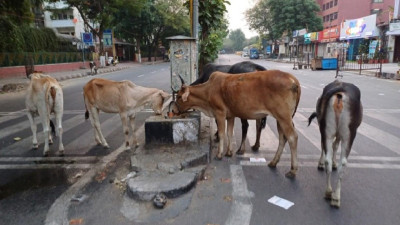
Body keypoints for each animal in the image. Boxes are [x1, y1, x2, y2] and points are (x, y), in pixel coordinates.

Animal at [173, 70, 302, 178]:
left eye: (179, 96)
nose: (173, 110)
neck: (208, 90)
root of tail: (293, 79)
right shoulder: (230, 116)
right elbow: (229, 133)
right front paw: (229, 152)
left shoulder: (220, 113)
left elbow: (222, 134)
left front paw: (219, 154)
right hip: (281, 119)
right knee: (282, 138)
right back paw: (273, 162)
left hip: (283, 117)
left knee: (292, 137)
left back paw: (292, 170)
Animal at [310, 80, 362, 208]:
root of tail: (340, 92)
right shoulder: (340, 135)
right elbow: (336, 146)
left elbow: (331, 146)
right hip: (349, 134)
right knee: (343, 163)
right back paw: (336, 197)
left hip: (327, 129)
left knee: (327, 157)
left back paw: (329, 192)